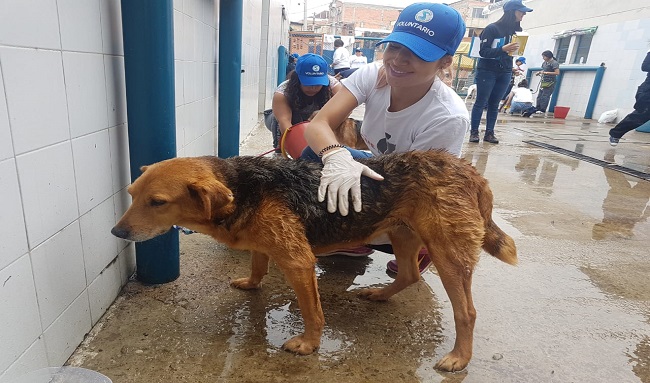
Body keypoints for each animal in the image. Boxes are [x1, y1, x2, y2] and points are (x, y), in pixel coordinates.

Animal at [112, 151, 516, 372]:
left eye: (158, 202)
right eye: (131, 194)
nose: (117, 232)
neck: (243, 188)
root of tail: (470, 171)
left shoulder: (298, 262)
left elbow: (311, 310)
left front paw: (309, 344)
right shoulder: (263, 244)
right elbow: (257, 265)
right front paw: (252, 283)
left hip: (448, 255)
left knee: (466, 312)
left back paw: (459, 357)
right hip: (401, 233)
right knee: (411, 275)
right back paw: (380, 294)